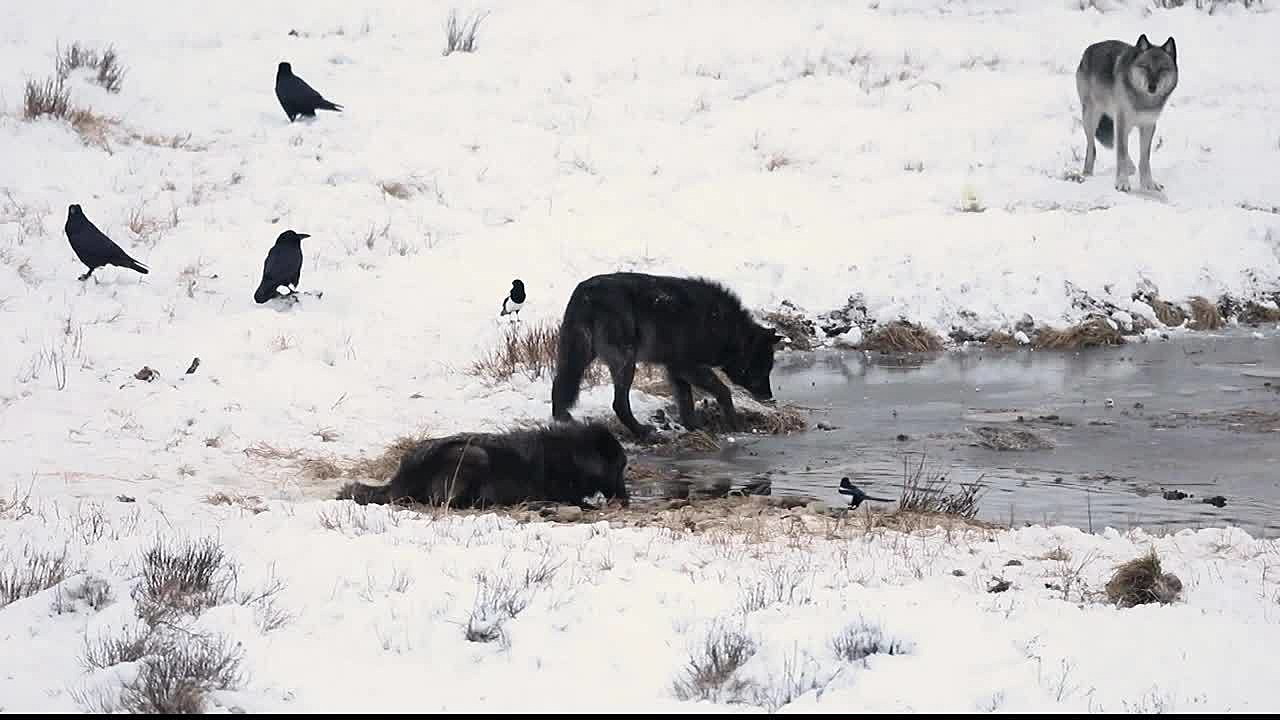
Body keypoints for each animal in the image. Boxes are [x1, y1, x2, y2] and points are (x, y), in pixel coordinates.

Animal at [332, 422, 627, 507]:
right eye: (619, 468)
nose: (627, 501)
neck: (575, 455)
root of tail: (401, 476)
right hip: (475, 454)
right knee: (445, 502)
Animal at [552, 270, 783, 435]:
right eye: (763, 368)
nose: (769, 397)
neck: (724, 328)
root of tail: (586, 293)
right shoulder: (687, 366)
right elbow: (723, 391)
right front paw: (734, 424)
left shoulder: (675, 370)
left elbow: (686, 401)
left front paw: (693, 427)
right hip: (626, 362)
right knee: (619, 404)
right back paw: (642, 432)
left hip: (578, 358)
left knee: (560, 384)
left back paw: (562, 421)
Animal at [1075, 33, 1172, 192]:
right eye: (1145, 67)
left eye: (1162, 69)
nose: (1152, 87)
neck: (1144, 101)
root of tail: (1089, 49)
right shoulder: (1123, 122)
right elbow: (1120, 153)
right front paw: (1122, 183)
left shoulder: (1148, 125)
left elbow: (1144, 158)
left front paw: (1149, 184)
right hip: (1091, 117)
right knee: (1092, 148)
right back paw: (1087, 174)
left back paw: (1131, 167)